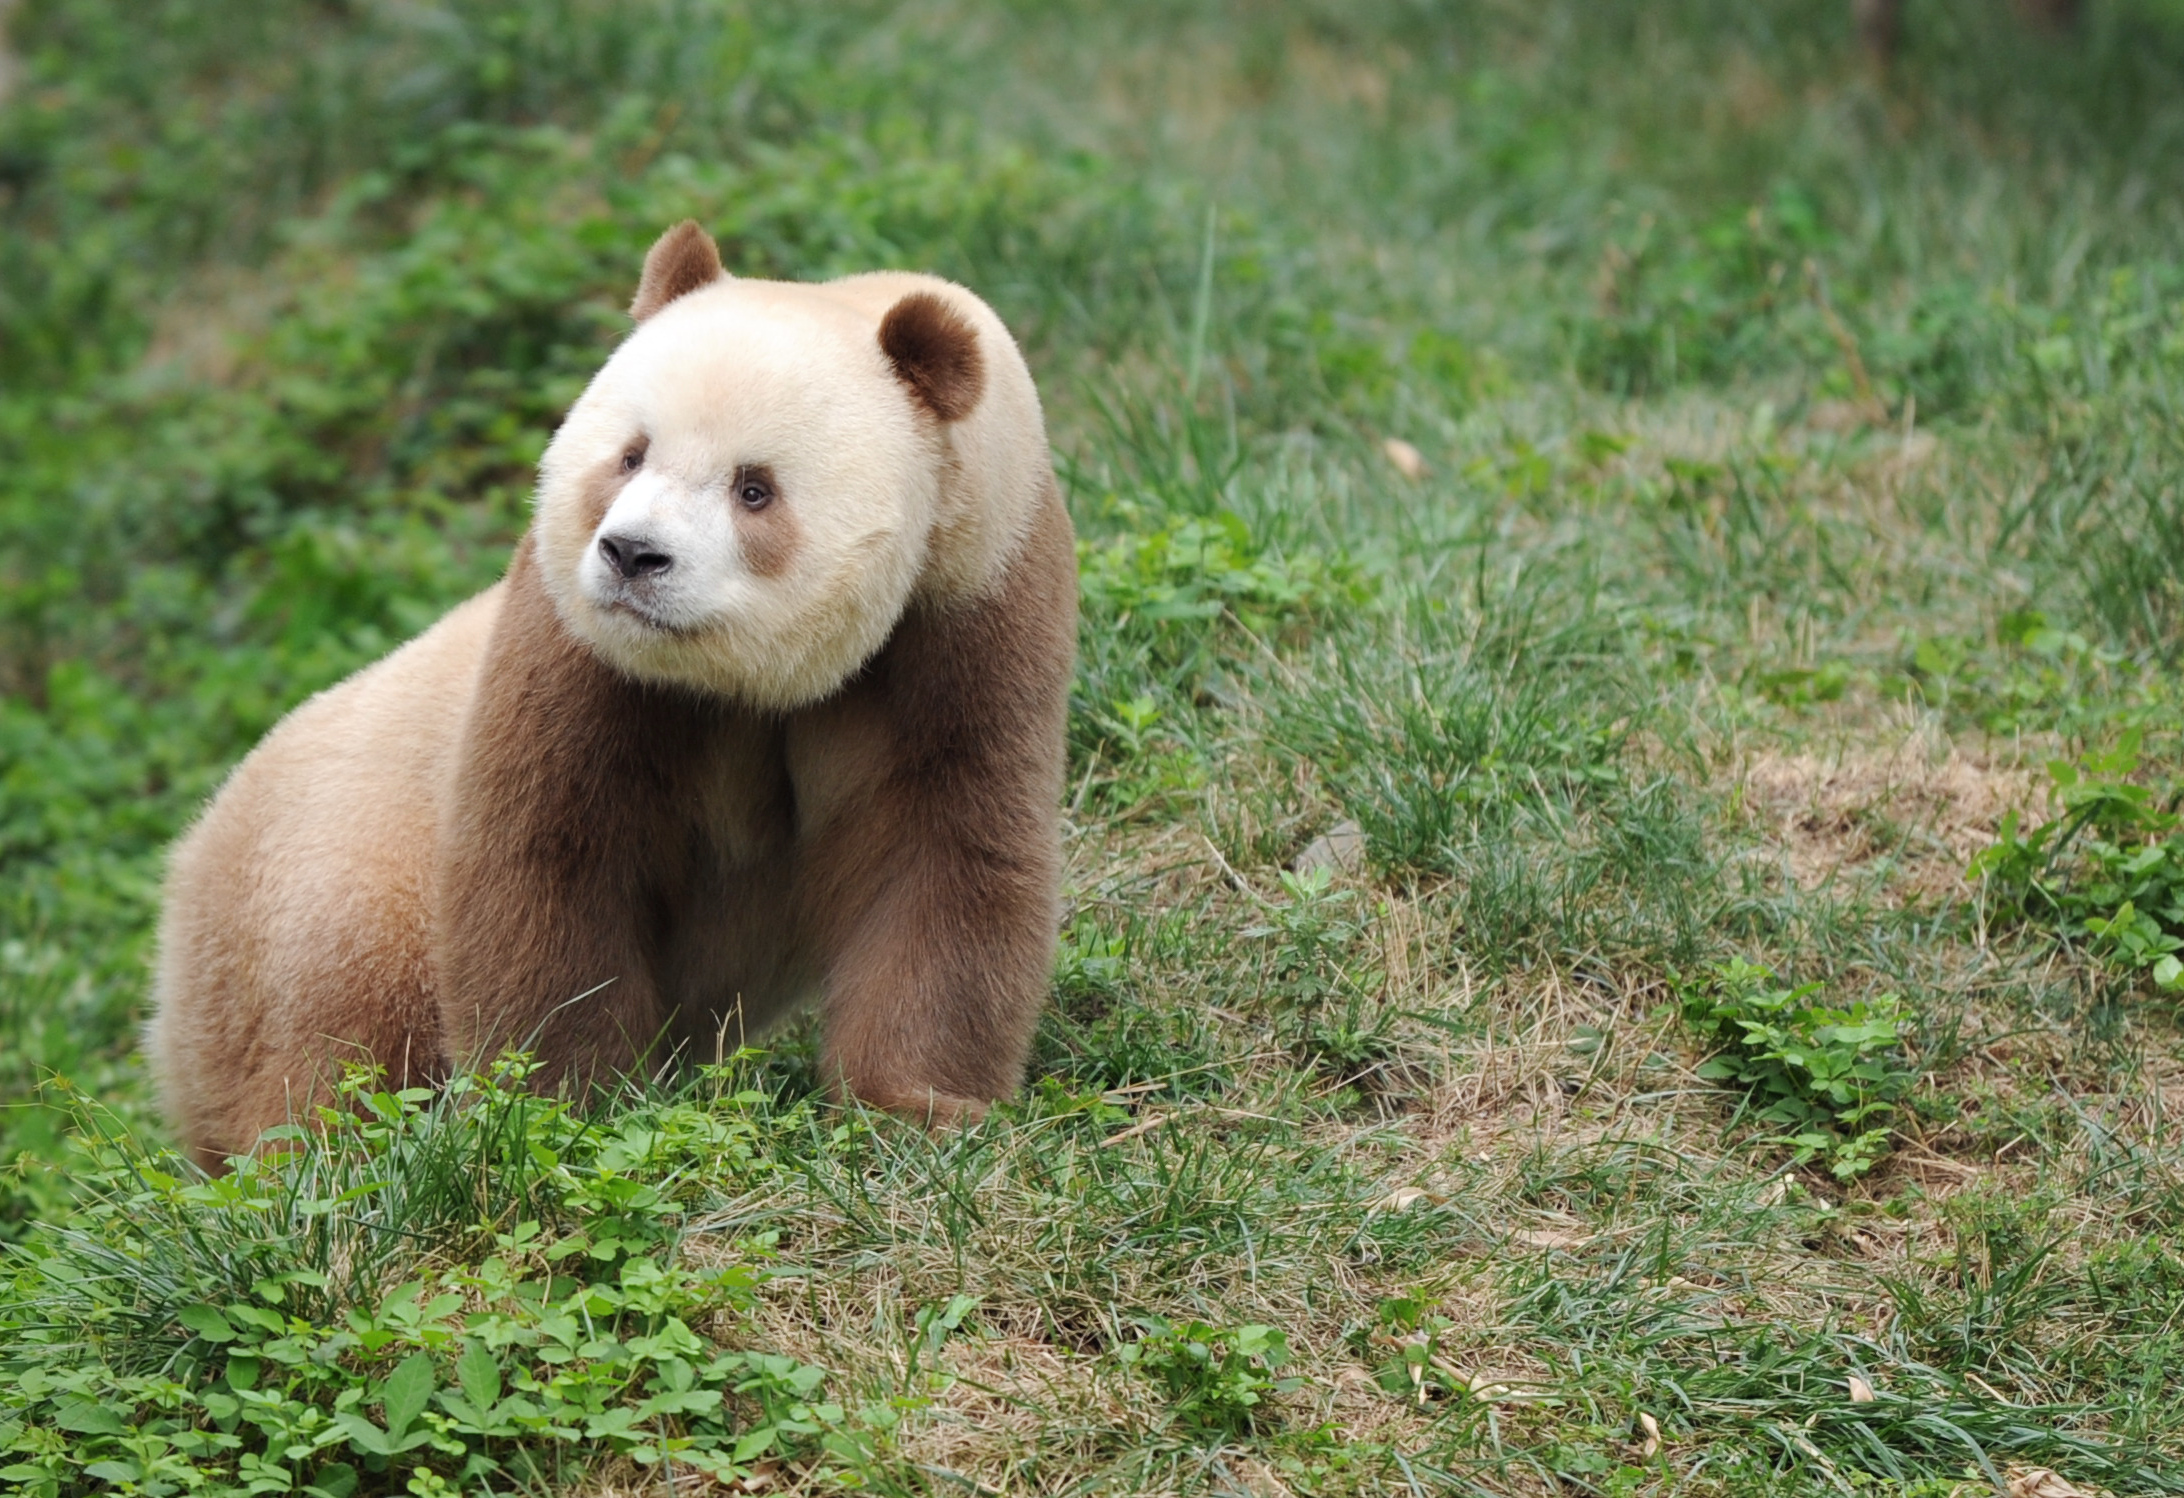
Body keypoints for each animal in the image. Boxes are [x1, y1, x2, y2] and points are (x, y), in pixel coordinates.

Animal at [145, 222, 1083, 1170]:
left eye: (754, 487)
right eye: (631, 455)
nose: (633, 554)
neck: (750, 683)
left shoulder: (968, 612)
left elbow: (944, 852)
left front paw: (922, 1109)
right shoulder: (575, 648)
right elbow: (552, 858)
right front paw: (564, 1112)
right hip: (329, 878)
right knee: (341, 1034)